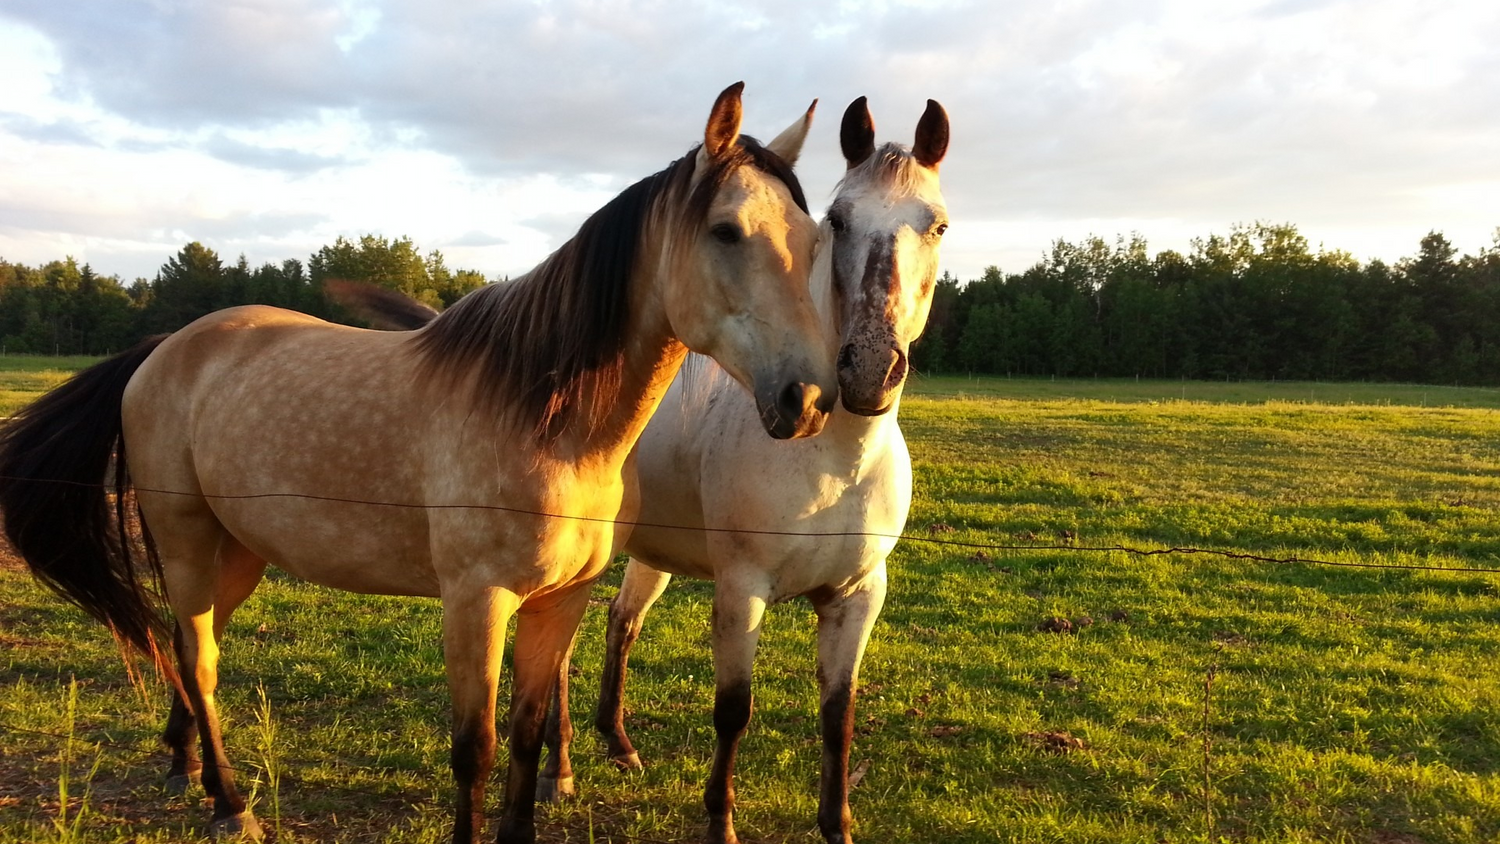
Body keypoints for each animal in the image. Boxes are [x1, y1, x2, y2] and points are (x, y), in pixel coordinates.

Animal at [0, 83, 838, 844]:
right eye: (727, 231)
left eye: (812, 239)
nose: (807, 398)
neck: (549, 421)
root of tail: (162, 351)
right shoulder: (476, 600)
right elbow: (477, 749)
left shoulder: (559, 602)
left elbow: (528, 736)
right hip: (185, 541)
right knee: (201, 662)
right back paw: (231, 805)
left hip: (234, 552)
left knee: (185, 646)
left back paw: (188, 770)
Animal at [327, 96, 950, 844]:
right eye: (840, 220)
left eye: (937, 223)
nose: (866, 369)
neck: (834, 465)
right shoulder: (742, 589)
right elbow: (733, 711)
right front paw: (720, 823)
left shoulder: (858, 596)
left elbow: (838, 714)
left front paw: (838, 826)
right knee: (565, 659)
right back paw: (561, 770)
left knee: (620, 625)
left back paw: (616, 744)